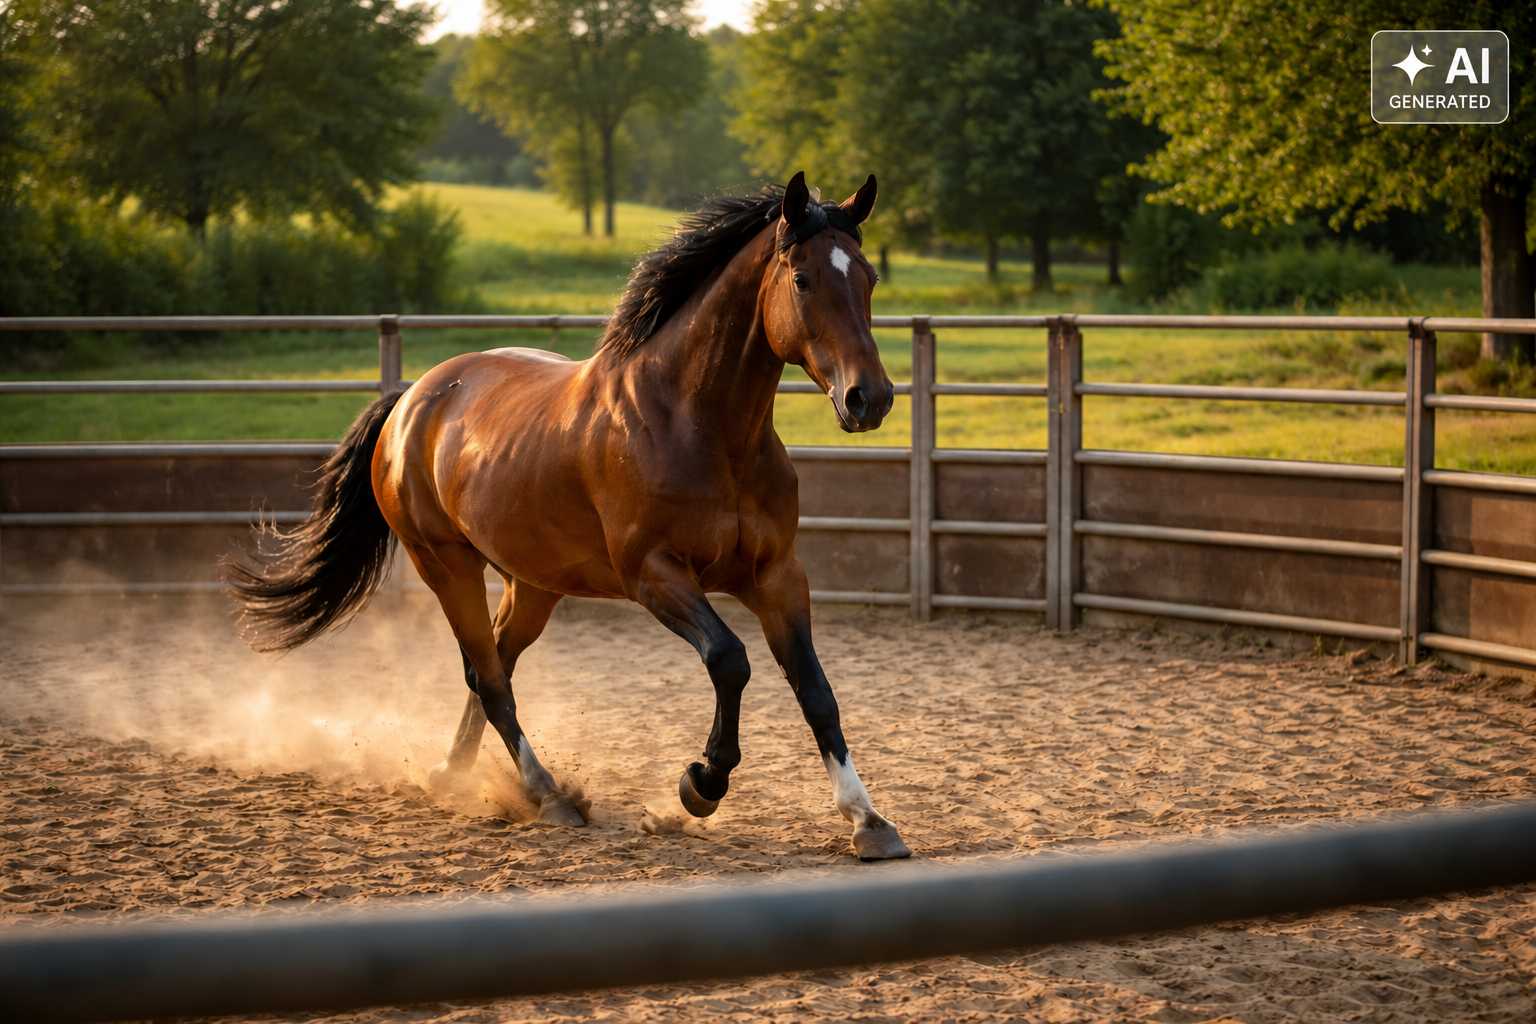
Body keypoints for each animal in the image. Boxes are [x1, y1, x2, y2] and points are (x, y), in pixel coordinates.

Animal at [228, 171, 910, 860]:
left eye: (869, 277)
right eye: (801, 278)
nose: (869, 398)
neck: (697, 426)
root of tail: (411, 400)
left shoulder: (776, 576)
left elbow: (816, 692)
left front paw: (869, 822)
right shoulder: (654, 576)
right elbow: (729, 659)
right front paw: (701, 783)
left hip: (532, 584)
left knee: (491, 667)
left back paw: (454, 774)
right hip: (445, 565)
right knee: (491, 679)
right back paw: (548, 795)